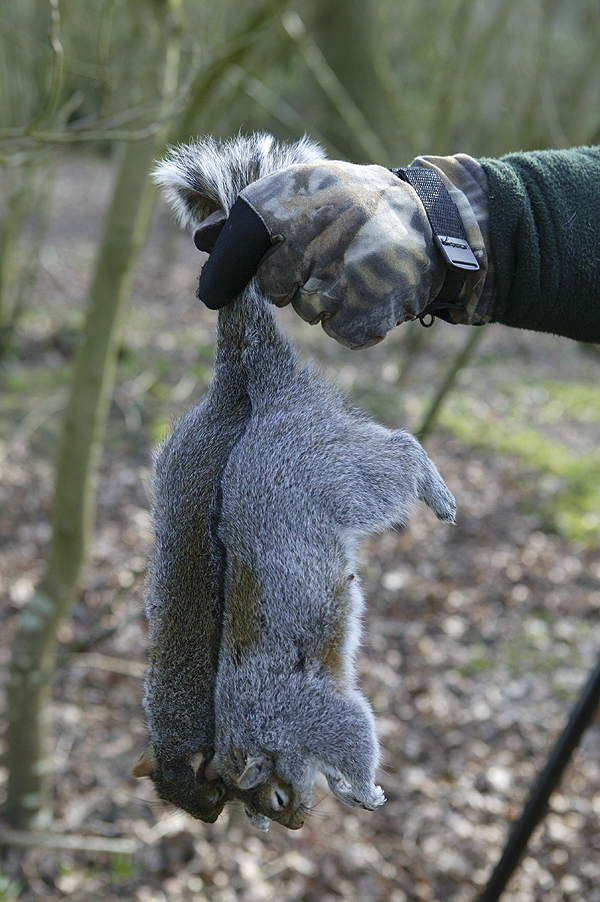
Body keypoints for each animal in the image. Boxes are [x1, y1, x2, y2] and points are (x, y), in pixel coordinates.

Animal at [136, 133, 456, 829]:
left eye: (268, 798)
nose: (296, 820)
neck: (250, 731)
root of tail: (274, 405)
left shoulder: (307, 711)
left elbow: (353, 731)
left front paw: (363, 789)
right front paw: (345, 788)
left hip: (339, 475)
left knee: (401, 451)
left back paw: (436, 490)